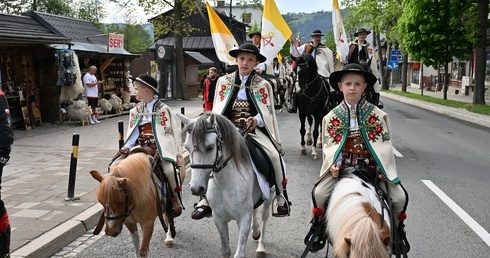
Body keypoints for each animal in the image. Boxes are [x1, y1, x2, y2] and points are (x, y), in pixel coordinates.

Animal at [178, 113, 274, 258]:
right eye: (187, 147)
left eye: (210, 147)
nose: (195, 188)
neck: (225, 183)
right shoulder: (219, 219)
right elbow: (225, 250)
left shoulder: (244, 219)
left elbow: (239, 253)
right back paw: (255, 231)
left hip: (269, 196)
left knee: (264, 216)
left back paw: (261, 246)